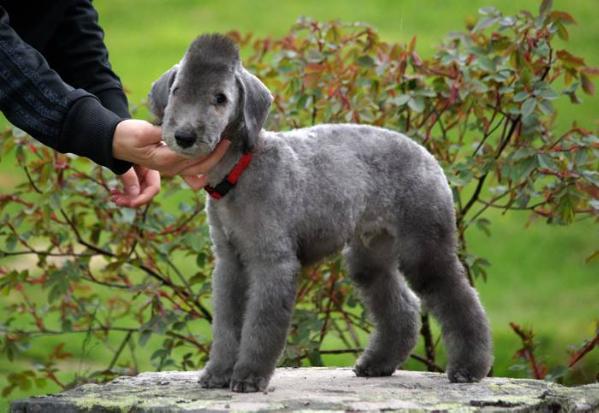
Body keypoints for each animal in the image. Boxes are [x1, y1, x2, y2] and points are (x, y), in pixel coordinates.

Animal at [148, 33, 494, 392]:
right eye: (177, 91)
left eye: (220, 98)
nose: (184, 136)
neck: (241, 169)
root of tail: (428, 155)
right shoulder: (230, 262)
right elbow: (227, 323)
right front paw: (217, 373)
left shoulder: (272, 261)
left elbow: (261, 324)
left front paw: (249, 377)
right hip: (371, 251)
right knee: (402, 305)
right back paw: (377, 363)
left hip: (424, 241)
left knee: (458, 296)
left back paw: (469, 367)